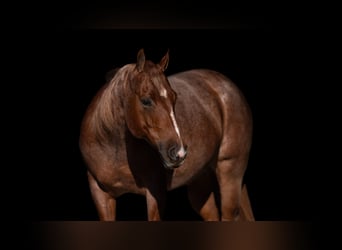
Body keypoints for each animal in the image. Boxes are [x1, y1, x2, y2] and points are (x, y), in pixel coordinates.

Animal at [78, 48, 254, 221]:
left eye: (174, 97)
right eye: (146, 101)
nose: (179, 153)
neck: (111, 148)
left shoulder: (156, 193)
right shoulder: (100, 195)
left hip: (229, 172)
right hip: (200, 183)